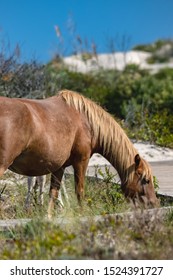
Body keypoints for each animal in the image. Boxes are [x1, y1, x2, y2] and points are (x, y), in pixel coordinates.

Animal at [0, 89, 159, 217]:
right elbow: (79, 191)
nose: (154, 203)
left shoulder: (59, 167)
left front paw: (48, 217)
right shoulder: (81, 161)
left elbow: (53, 193)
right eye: (146, 180)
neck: (87, 122)